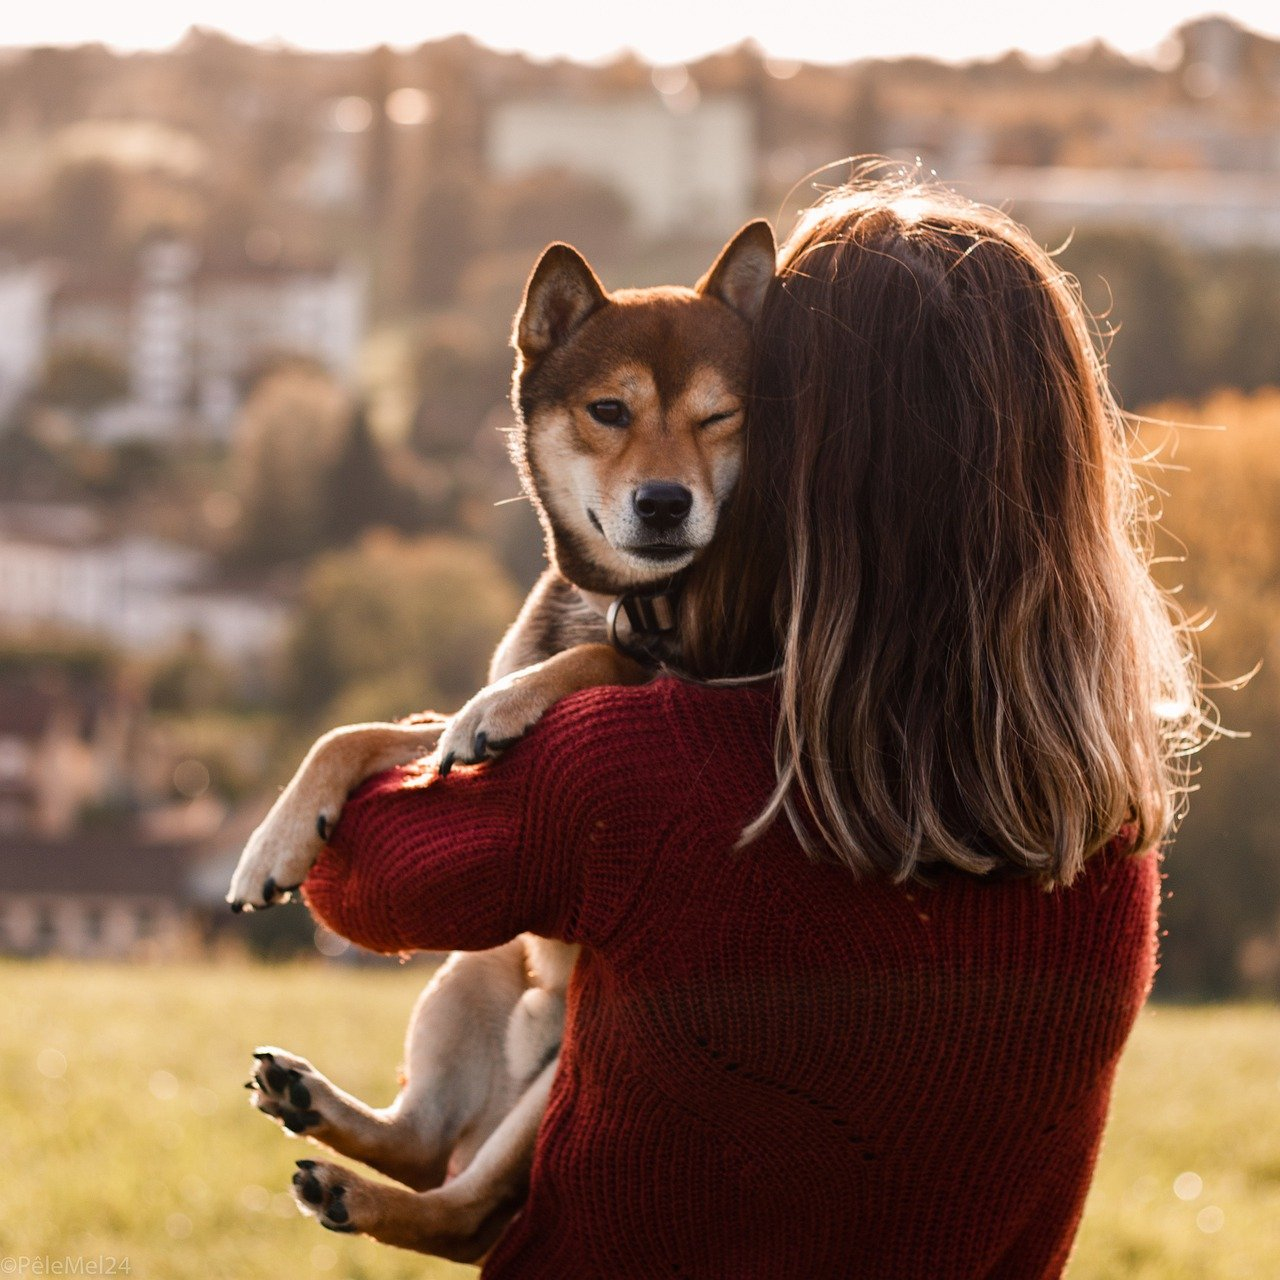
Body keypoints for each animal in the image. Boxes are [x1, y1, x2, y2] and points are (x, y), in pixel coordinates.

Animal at [225, 222, 773, 1259]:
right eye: (609, 410)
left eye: (722, 417)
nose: (665, 503)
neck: (627, 600)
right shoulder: (429, 736)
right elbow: (359, 733)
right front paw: (276, 841)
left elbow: (598, 665)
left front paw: (514, 703)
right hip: (474, 970)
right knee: (424, 1142)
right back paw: (314, 1105)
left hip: (569, 1063)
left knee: (462, 1206)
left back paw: (360, 1193)